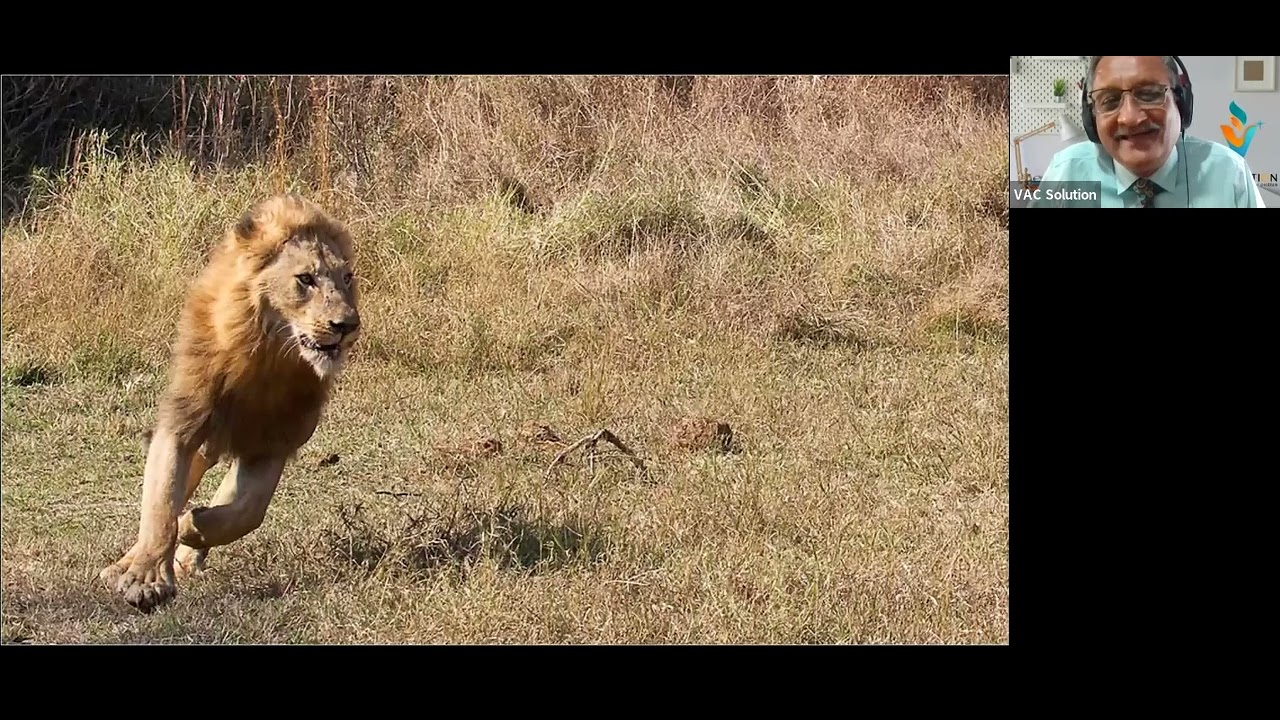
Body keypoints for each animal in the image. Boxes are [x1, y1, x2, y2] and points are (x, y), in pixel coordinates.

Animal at [98, 193, 362, 613]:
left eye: (347, 279)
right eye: (305, 279)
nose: (346, 325)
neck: (271, 358)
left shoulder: (275, 440)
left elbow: (247, 511)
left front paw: (192, 528)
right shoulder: (185, 422)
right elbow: (161, 504)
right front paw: (145, 580)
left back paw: (187, 552)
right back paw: (127, 564)